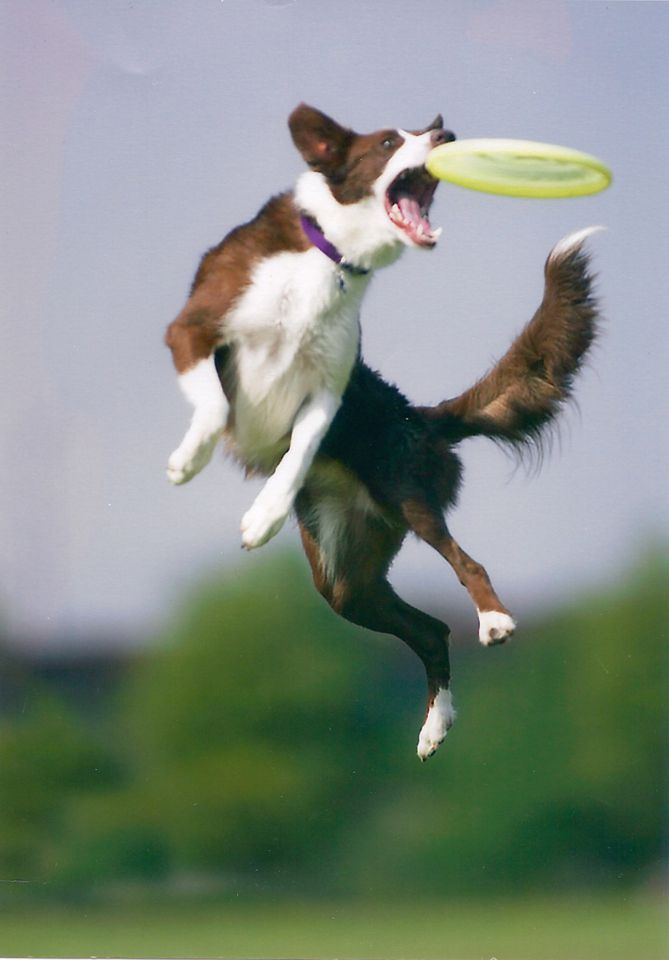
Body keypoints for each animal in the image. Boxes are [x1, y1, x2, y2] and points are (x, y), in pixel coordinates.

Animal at [163, 105, 600, 760]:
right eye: (391, 141)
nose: (446, 136)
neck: (327, 259)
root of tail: (419, 414)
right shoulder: (193, 331)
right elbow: (214, 405)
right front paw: (190, 461)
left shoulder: (326, 390)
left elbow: (295, 450)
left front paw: (263, 516)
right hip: (344, 580)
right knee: (431, 629)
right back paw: (435, 726)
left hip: (405, 494)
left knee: (464, 568)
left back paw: (492, 624)